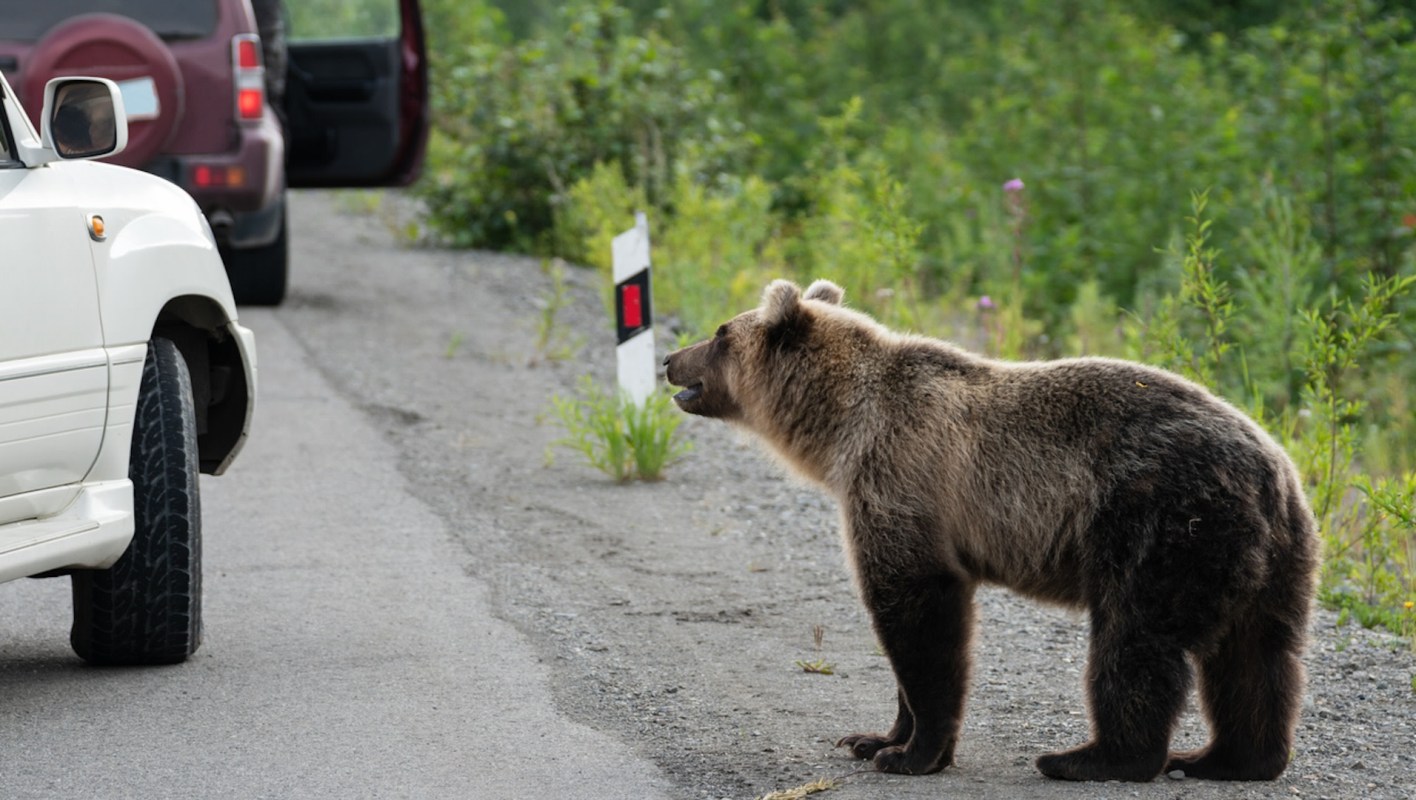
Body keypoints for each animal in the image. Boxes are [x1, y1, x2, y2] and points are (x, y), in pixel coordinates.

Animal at [662, 278, 1314, 781]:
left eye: (720, 332)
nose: (669, 359)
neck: (841, 427)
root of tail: (1274, 472)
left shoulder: (902, 480)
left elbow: (920, 618)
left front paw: (912, 753)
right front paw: (874, 737)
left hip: (1159, 523)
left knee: (1135, 642)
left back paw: (1090, 758)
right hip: (1272, 558)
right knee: (1257, 657)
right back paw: (1225, 758)